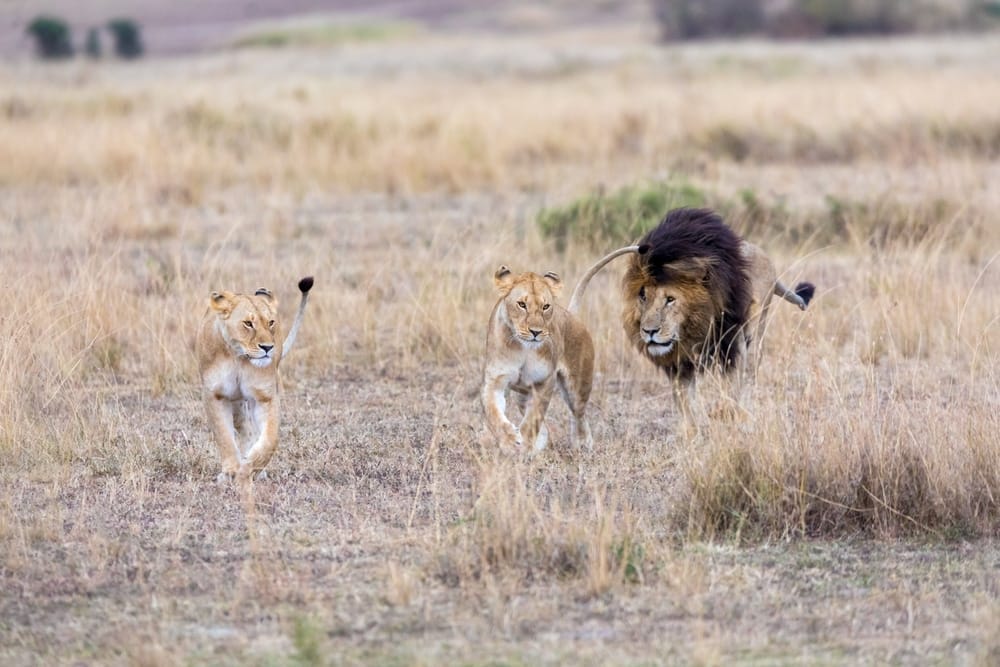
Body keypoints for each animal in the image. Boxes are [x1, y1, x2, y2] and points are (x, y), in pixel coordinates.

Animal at [196, 276, 314, 482]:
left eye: (271, 322)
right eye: (248, 324)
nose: (268, 347)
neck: (238, 357)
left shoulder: (265, 396)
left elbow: (270, 438)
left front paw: (253, 465)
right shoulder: (214, 395)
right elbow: (224, 436)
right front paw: (230, 471)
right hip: (236, 401)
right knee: (243, 427)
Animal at [481, 247, 638, 452]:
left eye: (546, 306)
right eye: (521, 304)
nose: (536, 332)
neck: (523, 348)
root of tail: (571, 314)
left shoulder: (544, 382)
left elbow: (533, 419)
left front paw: (522, 441)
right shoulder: (495, 381)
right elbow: (493, 414)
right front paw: (510, 440)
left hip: (577, 387)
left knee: (579, 416)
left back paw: (582, 444)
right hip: (523, 394)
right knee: (542, 424)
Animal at [621, 207, 814, 423]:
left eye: (670, 299)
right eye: (643, 296)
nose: (649, 331)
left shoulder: (732, 344)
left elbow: (732, 385)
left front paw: (728, 414)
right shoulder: (680, 363)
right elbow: (684, 400)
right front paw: (694, 425)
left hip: (757, 328)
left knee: (751, 369)